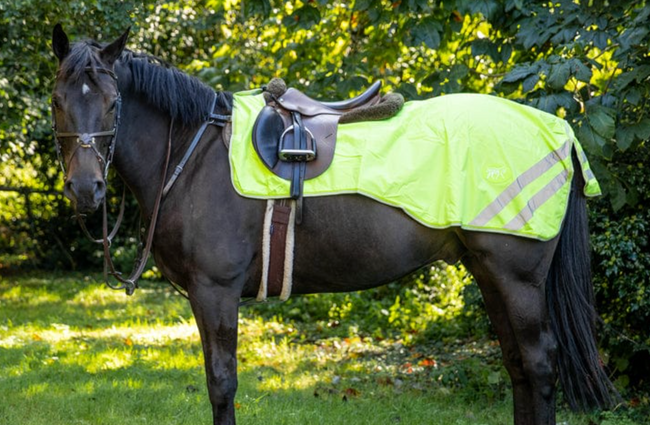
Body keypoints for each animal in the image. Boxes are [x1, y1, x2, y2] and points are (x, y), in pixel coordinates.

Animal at [50, 25, 616, 424]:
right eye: (58, 100)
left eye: (113, 102)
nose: (86, 189)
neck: (195, 152)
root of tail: (558, 129)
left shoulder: (216, 292)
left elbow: (222, 384)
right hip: (488, 272)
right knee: (518, 366)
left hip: (517, 276)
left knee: (539, 364)